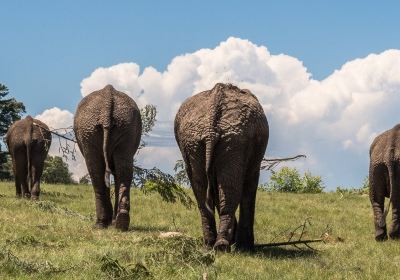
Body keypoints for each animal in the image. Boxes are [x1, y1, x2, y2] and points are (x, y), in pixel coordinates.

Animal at [74, 84, 142, 231]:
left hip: (89, 130)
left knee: (95, 170)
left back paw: (101, 224)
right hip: (126, 126)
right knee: (124, 169)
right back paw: (120, 222)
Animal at [174, 83, 268, 252]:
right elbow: (250, 185)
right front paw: (245, 246)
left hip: (194, 141)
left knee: (202, 188)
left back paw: (211, 244)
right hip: (234, 140)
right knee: (228, 189)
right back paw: (223, 246)